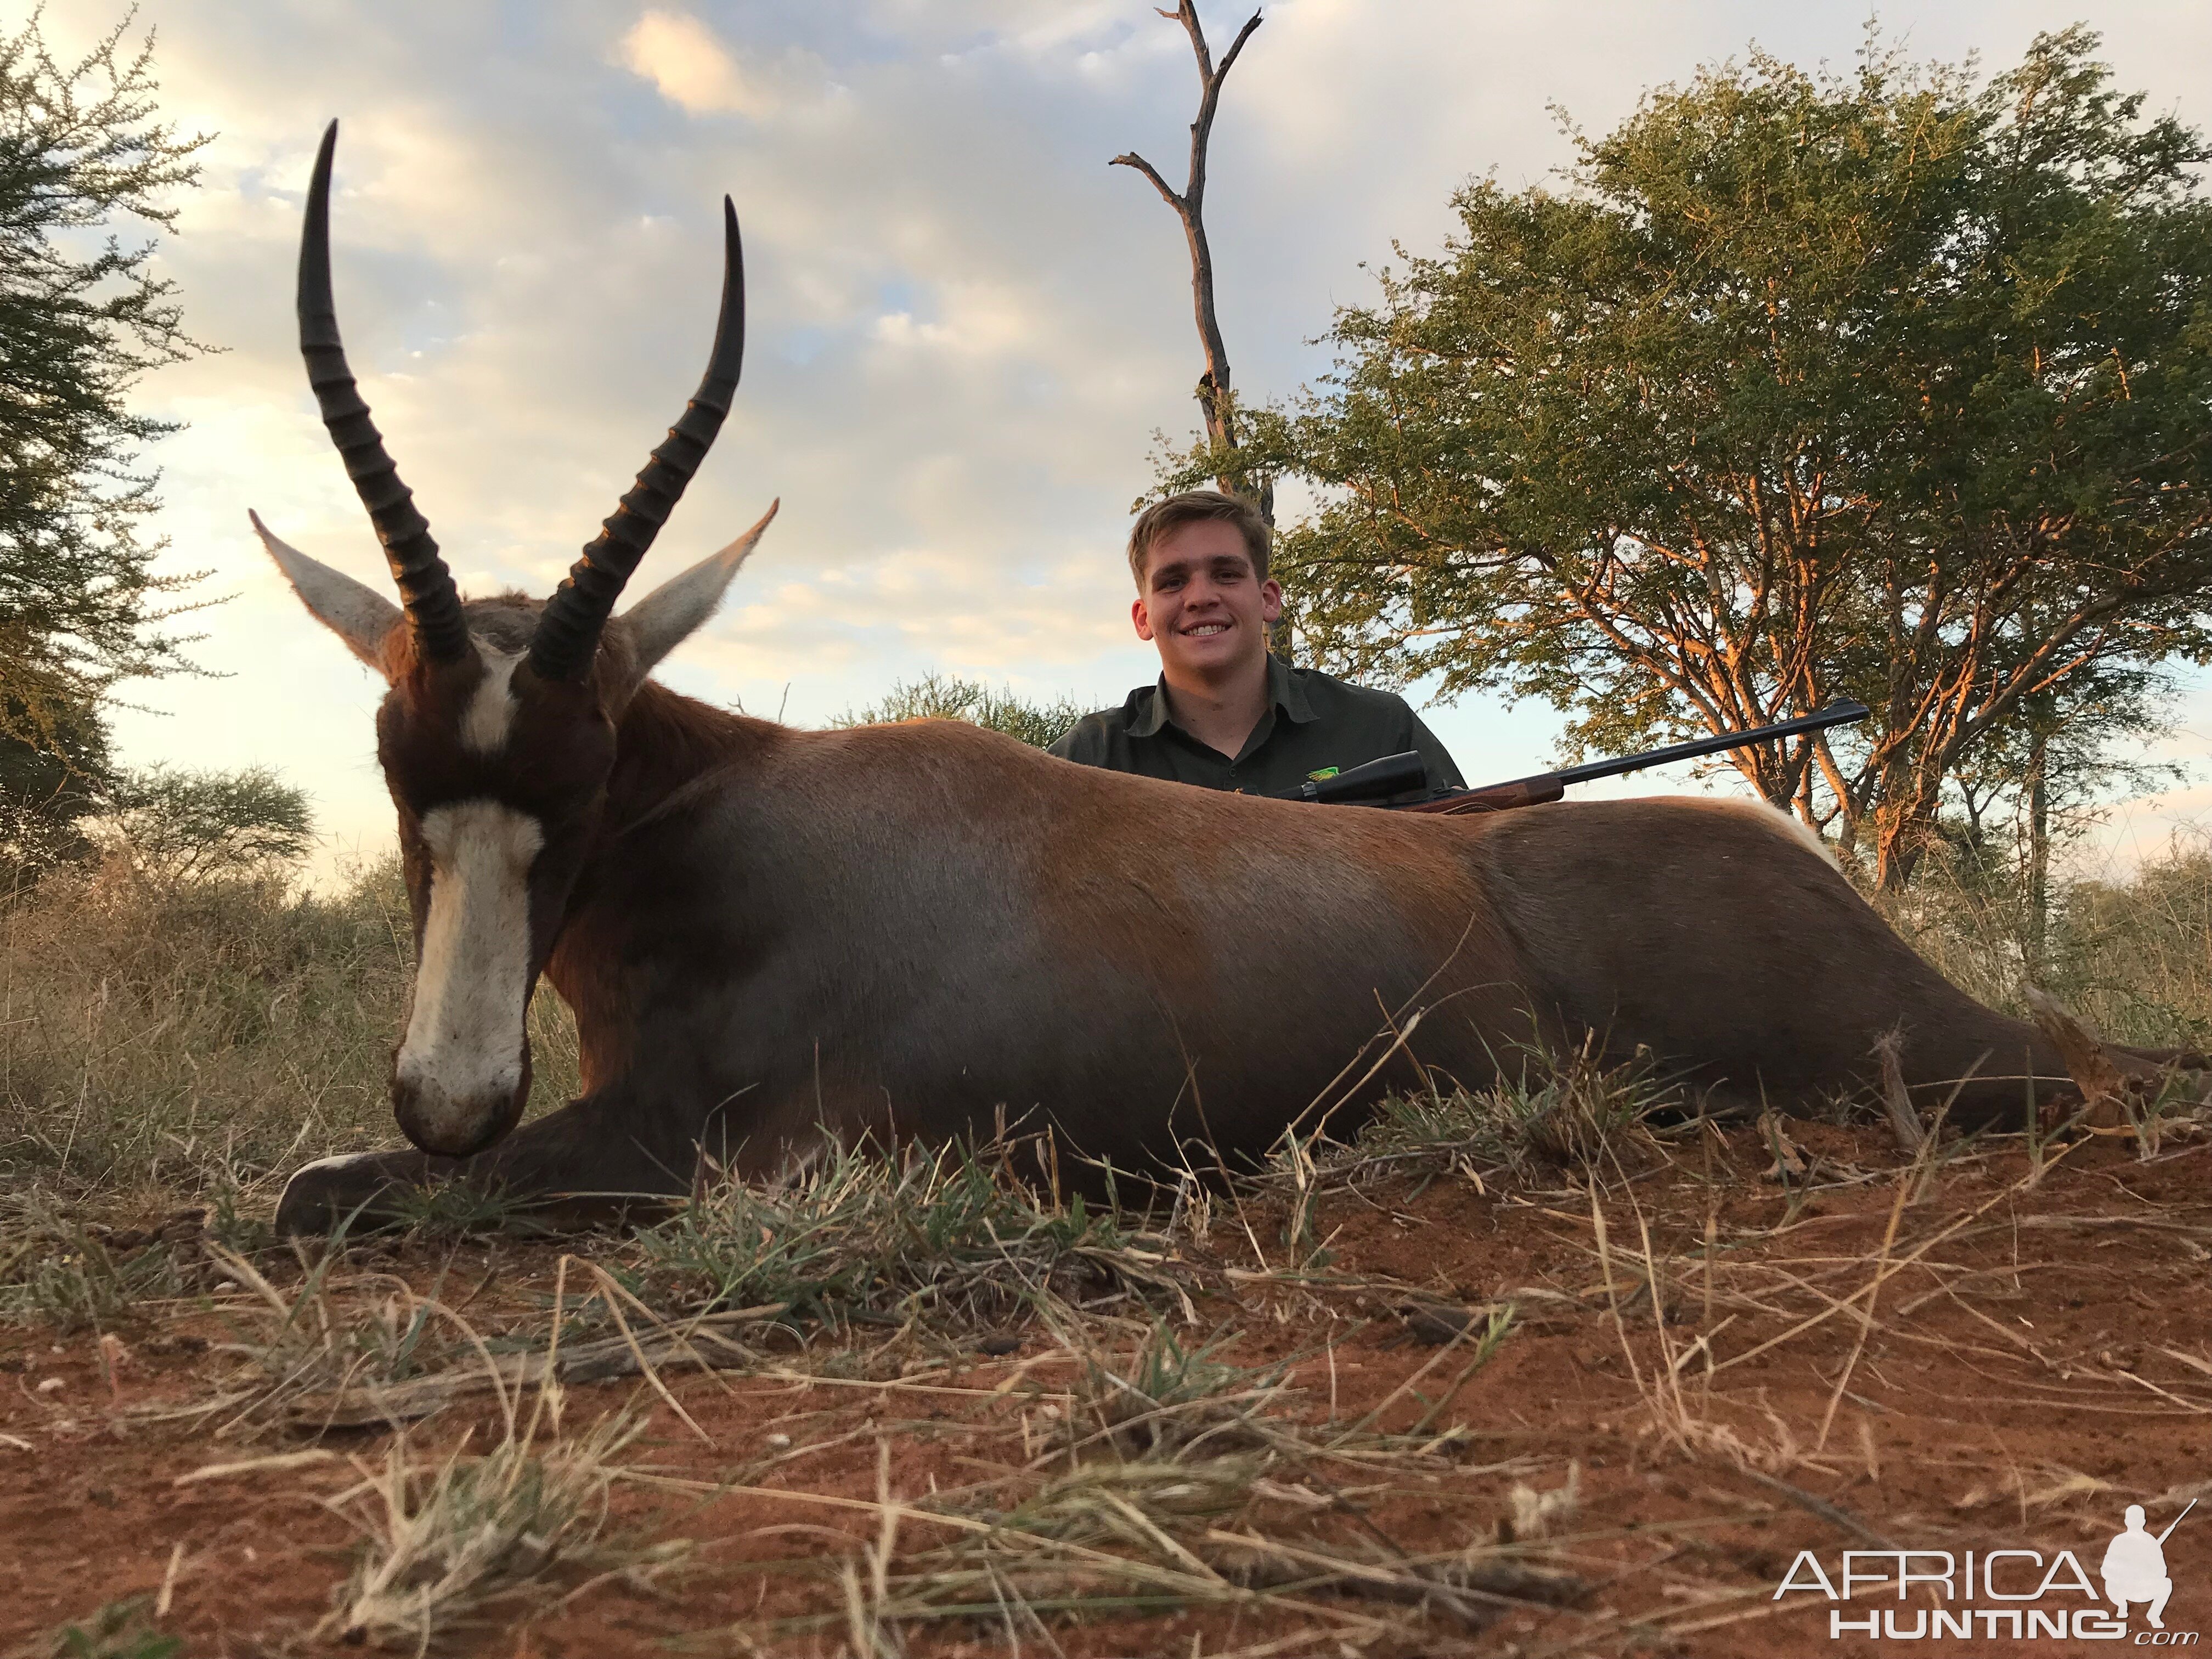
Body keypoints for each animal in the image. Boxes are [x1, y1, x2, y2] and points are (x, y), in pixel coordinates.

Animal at [267, 126, 2168, 1238]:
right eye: (396, 764)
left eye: (584, 772)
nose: (452, 1098)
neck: (721, 822)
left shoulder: (706, 1146)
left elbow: (312, 1194)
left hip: (1934, 1062)